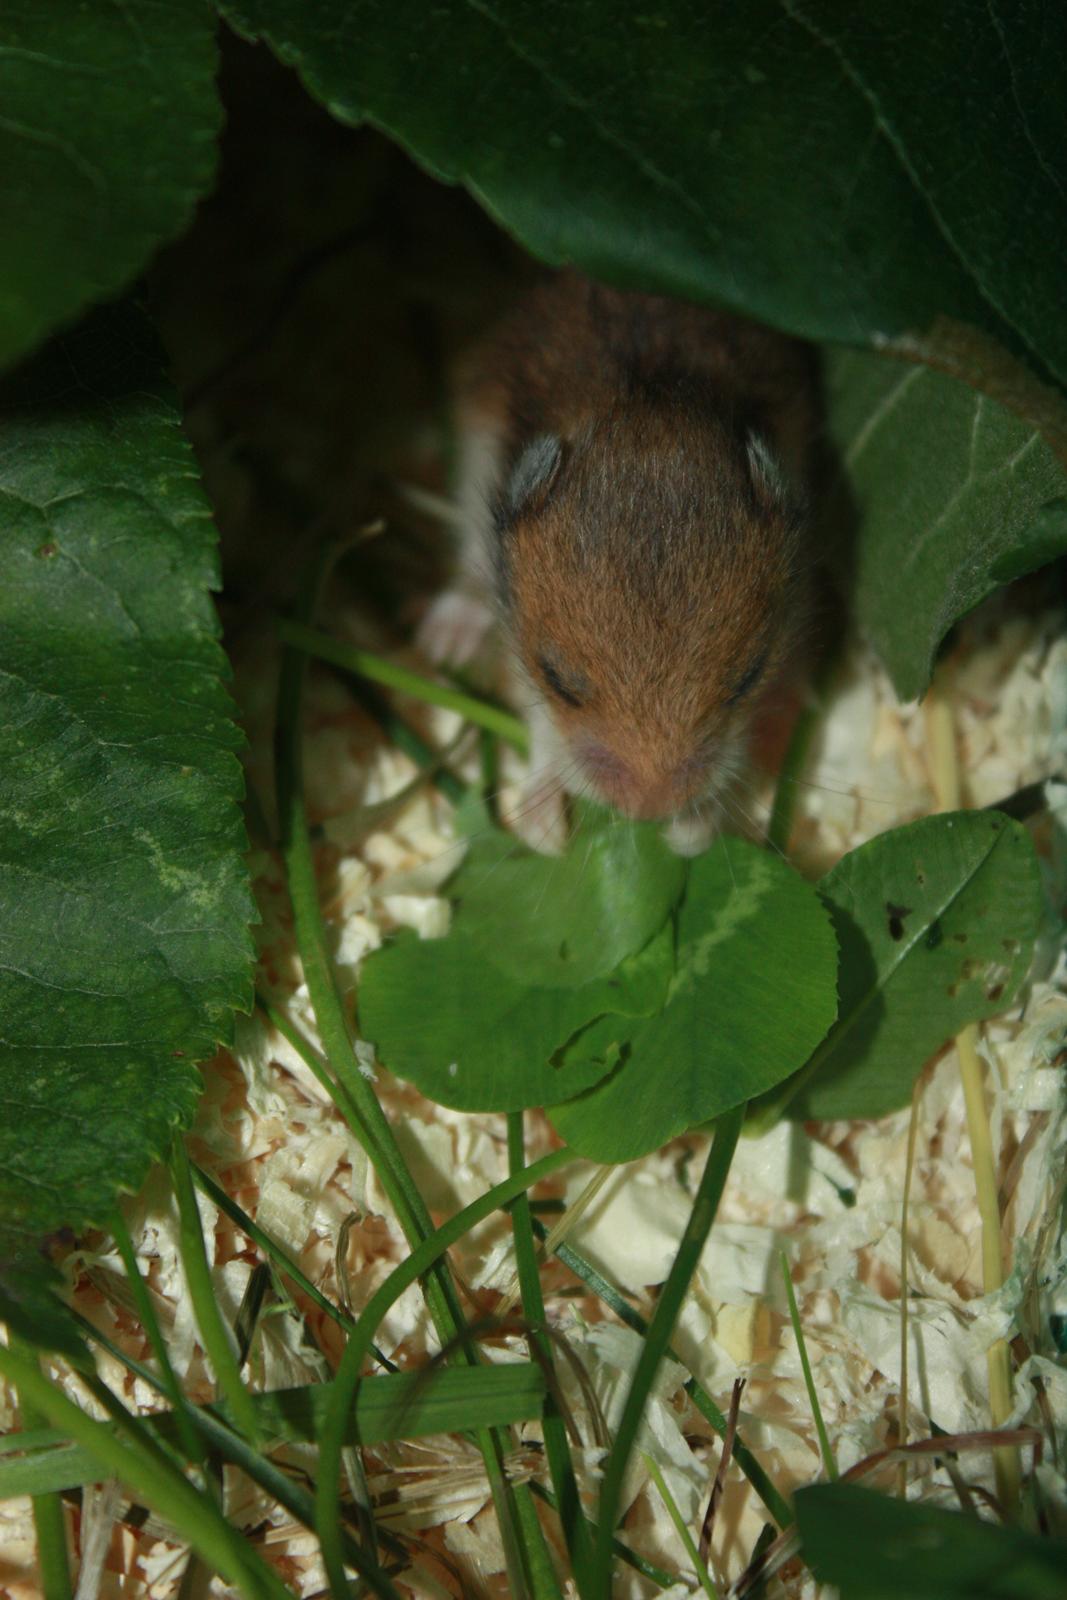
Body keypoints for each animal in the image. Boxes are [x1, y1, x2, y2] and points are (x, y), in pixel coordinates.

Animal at [415, 268, 819, 857]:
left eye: (747, 678)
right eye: (556, 678)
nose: (648, 811)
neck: (646, 391)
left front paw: (690, 834)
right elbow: (541, 729)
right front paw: (547, 836)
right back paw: (443, 640)